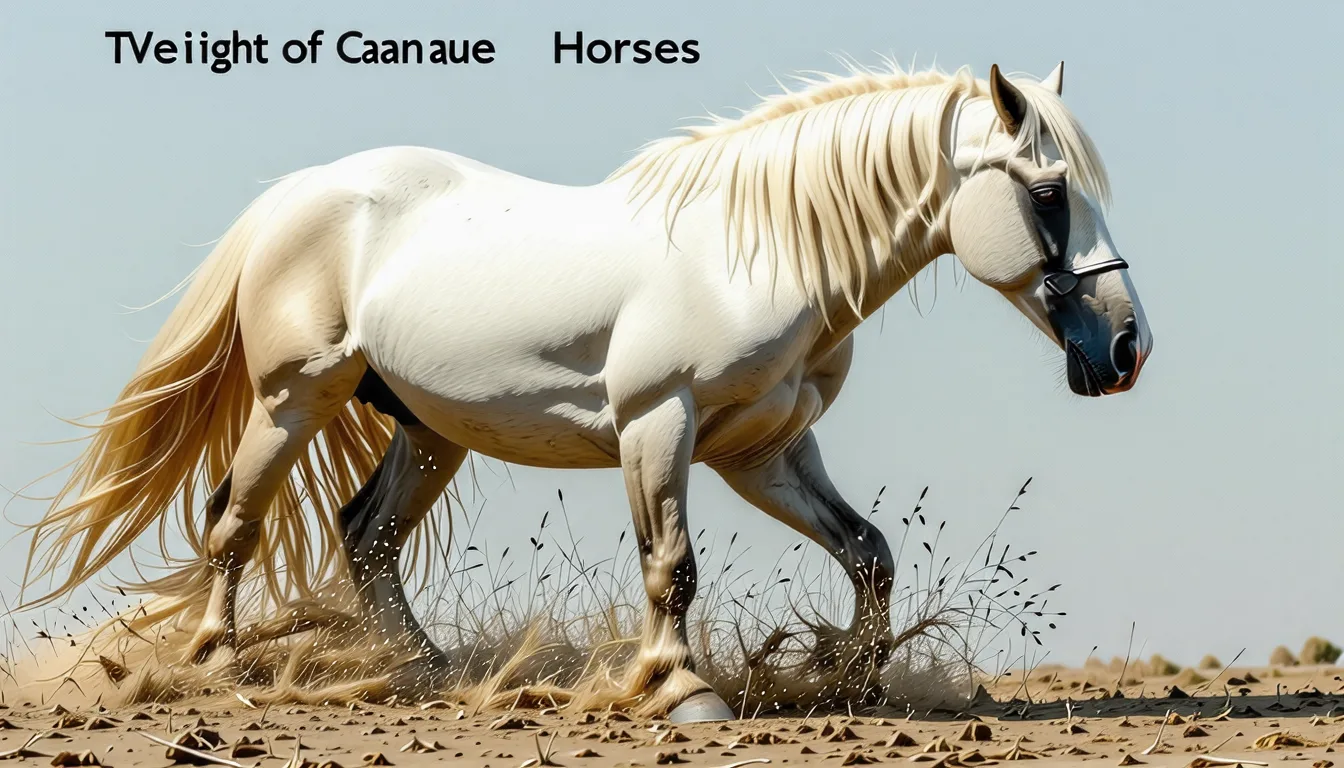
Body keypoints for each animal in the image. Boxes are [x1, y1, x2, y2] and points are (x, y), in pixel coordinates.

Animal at [21, 61, 1152, 721]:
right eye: (1049, 194)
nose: (1127, 347)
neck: (755, 253)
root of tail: (297, 197)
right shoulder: (660, 423)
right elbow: (673, 567)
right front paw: (681, 690)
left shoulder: (762, 450)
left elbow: (868, 551)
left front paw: (853, 680)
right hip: (294, 400)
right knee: (232, 520)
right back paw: (216, 663)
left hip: (430, 431)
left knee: (364, 534)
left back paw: (431, 675)